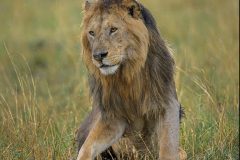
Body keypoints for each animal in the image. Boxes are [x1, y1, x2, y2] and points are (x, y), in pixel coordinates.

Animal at [76, 0, 187, 160]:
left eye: (113, 29)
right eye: (91, 33)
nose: (98, 56)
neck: (127, 75)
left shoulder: (168, 104)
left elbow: (168, 149)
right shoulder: (112, 117)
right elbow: (86, 148)